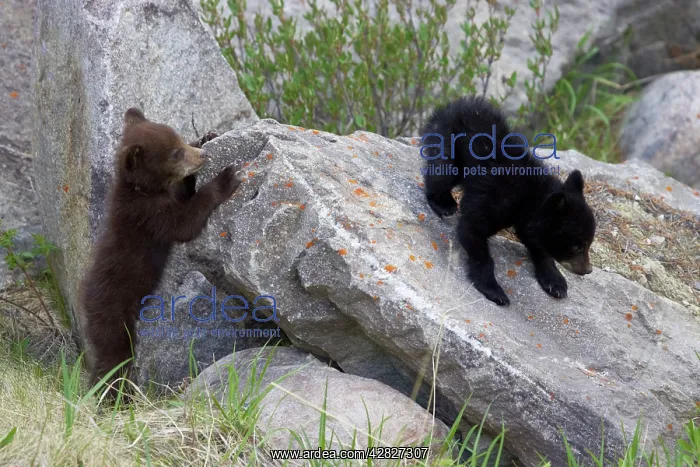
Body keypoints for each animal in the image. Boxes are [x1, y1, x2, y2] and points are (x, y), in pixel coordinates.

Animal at [79, 108, 242, 399]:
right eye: (175, 153)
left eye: (180, 140)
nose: (203, 155)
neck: (143, 190)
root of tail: (86, 300)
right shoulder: (150, 216)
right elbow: (185, 223)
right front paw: (225, 178)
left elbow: (184, 194)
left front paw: (207, 136)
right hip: (114, 314)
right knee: (113, 358)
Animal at [421, 95, 596, 306]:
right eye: (576, 246)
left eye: (590, 242)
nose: (588, 270)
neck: (528, 198)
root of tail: (447, 107)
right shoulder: (496, 200)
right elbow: (472, 230)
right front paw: (494, 290)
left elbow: (536, 242)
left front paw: (555, 282)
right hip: (449, 142)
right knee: (442, 173)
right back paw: (444, 204)